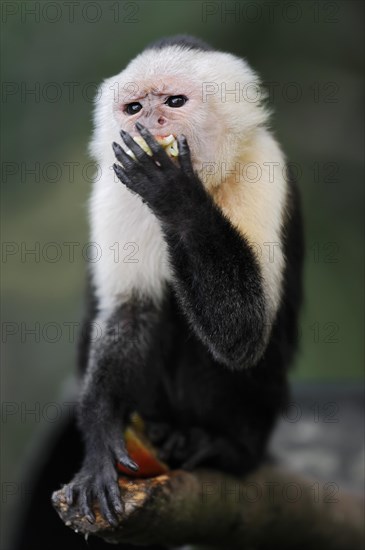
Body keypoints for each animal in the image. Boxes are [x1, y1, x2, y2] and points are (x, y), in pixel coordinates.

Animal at [14, 35, 302, 550]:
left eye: (174, 102)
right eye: (133, 107)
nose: (148, 123)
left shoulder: (262, 167)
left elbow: (244, 333)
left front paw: (174, 193)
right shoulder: (113, 185)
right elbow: (130, 314)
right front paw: (100, 448)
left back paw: (224, 446)